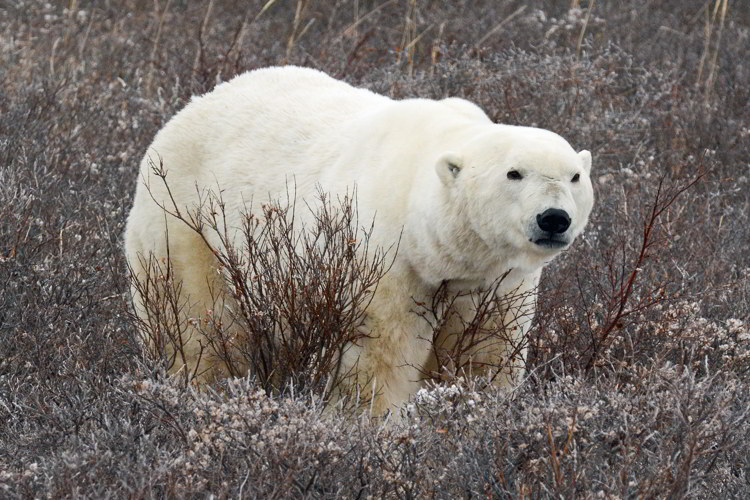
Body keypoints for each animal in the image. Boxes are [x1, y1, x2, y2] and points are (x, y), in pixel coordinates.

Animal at [125, 65, 592, 414]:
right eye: (514, 173)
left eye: (574, 176)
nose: (554, 219)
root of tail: (191, 106)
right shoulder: (382, 262)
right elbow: (377, 358)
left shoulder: (497, 286)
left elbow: (484, 352)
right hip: (187, 225)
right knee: (199, 323)